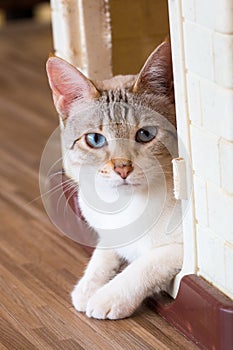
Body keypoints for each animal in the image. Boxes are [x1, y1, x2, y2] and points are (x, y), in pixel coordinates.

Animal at [46, 41, 183, 320]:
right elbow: (103, 252)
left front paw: (107, 297)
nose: (122, 168)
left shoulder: (186, 251)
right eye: (95, 139)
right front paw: (87, 287)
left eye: (145, 134)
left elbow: (147, 263)